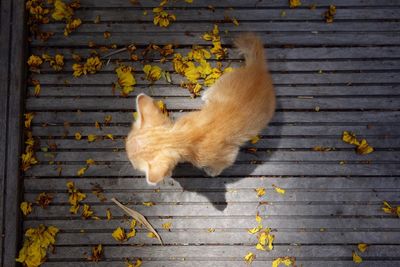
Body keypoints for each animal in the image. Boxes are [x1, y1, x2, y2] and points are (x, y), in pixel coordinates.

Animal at [126, 32, 276, 185]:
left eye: (132, 163)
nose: (129, 164)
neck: (183, 134)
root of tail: (258, 69)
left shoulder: (228, 155)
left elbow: (220, 165)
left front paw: (212, 171)